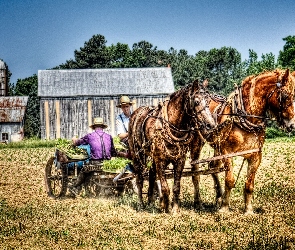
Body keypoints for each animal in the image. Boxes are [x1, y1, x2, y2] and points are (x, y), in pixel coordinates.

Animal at [128, 80, 216, 213]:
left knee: (151, 175)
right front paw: (167, 208)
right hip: (137, 154)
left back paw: (151, 202)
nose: (211, 125)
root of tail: (135, 113)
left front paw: (174, 208)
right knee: (139, 178)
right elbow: (165, 187)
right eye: (196, 101)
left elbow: (176, 186)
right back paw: (141, 204)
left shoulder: (179, 160)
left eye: (209, 101)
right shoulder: (159, 160)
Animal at [191, 69, 295, 215]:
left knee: (212, 167)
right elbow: (229, 180)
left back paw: (218, 196)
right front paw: (224, 208)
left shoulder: (256, 155)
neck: (246, 117)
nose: (292, 125)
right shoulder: (227, 153)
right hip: (197, 143)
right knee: (196, 173)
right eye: (285, 96)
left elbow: (249, 184)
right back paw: (198, 202)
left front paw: (248, 210)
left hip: (217, 147)